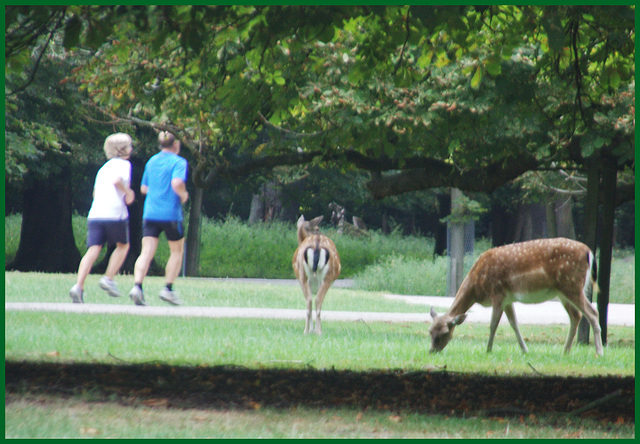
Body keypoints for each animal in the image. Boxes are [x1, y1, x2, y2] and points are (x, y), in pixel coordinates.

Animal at [430, 238, 604, 356]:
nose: (432, 350)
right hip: (563, 291)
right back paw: (565, 351)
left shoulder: (497, 292)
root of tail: (589, 252)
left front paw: (488, 350)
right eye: (430, 331)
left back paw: (599, 352)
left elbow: (493, 324)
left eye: (444, 333)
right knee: (576, 315)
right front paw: (525, 350)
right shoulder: (508, 299)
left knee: (592, 312)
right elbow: (514, 323)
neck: (476, 286)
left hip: (572, 285)